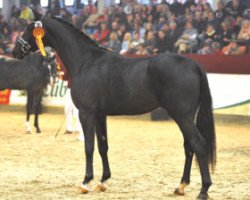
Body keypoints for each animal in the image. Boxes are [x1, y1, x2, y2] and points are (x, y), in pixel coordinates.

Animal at [12, 11, 215, 199]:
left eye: (30, 28)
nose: (15, 51)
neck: (86, 61)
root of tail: (193, 64)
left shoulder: (86, 113)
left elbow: (89, 147)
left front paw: (86, 182)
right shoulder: (100, 115)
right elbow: (103, 146)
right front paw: (103, 181)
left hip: (182, 115)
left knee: (198, 143)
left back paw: (203, 190)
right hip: (185, 116)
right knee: (188, 145)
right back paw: (181, 186)